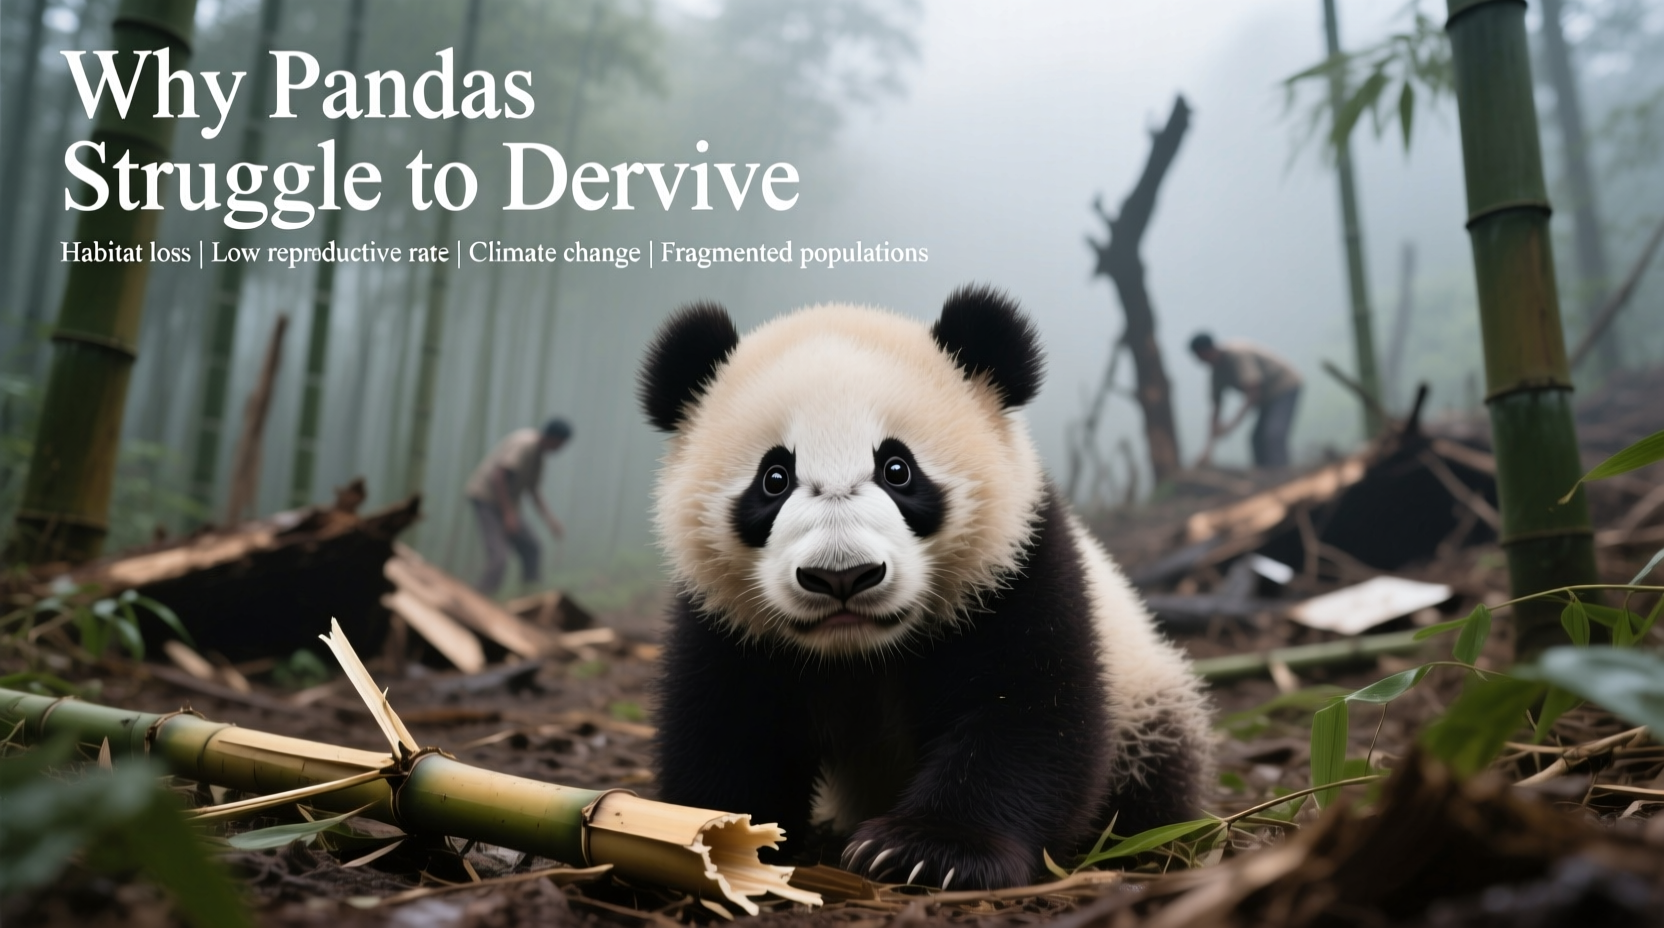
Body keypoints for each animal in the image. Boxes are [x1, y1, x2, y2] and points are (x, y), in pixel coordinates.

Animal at [638, 285, 1212, 891]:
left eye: (897, 469)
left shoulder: (1017, 570)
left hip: (1144, 694)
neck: (859, 653)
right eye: (774, 479)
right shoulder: (725, 618)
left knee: (1153, 774)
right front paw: (718, 836)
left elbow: (1029, 712)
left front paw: (929, 851)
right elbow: (728, 725)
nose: (842, 575)